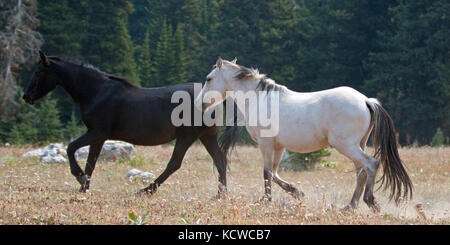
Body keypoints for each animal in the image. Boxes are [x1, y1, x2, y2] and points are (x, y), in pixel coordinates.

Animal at [22, 51, 241, 197]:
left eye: (39, 72)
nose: (26, 96)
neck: (97, 92)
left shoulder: (97, 132)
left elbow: (71, 148)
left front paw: (80, 178)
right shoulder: (98, 137)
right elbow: (91, 161)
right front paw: (83, 187)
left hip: (188, 136)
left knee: (175, 164)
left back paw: (146, 190)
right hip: (206, 136)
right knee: (220, 161)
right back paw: (220, 195)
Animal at [195, 58, 414, 212]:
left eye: (208, 79)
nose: (199, 104)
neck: (259, 99)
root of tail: (366, 100)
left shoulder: (266, 144)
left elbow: (267, 173)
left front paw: (266, 201)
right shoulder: (278, 146)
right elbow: (274, 173)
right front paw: (297, 193)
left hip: (346, 145)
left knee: (371, 165)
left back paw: (369, 202)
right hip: (357, 145)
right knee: (361, 172)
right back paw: (349, 207)